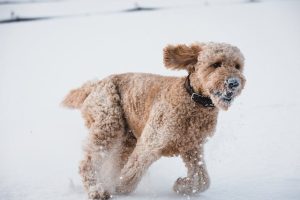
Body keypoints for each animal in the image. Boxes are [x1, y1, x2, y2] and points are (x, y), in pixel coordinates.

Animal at [61, 41, 246, 199]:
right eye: (216, 64)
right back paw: (97, 190)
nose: (234, 83)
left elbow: (203, 180)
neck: (192, 100)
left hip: (127, 139)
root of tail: (94, 85)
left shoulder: (192, 148)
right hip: (109, 122)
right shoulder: (151, 142)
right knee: (87, 162)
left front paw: (181, 185)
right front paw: (117, 188)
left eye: (238, 66)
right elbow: (131, 173)